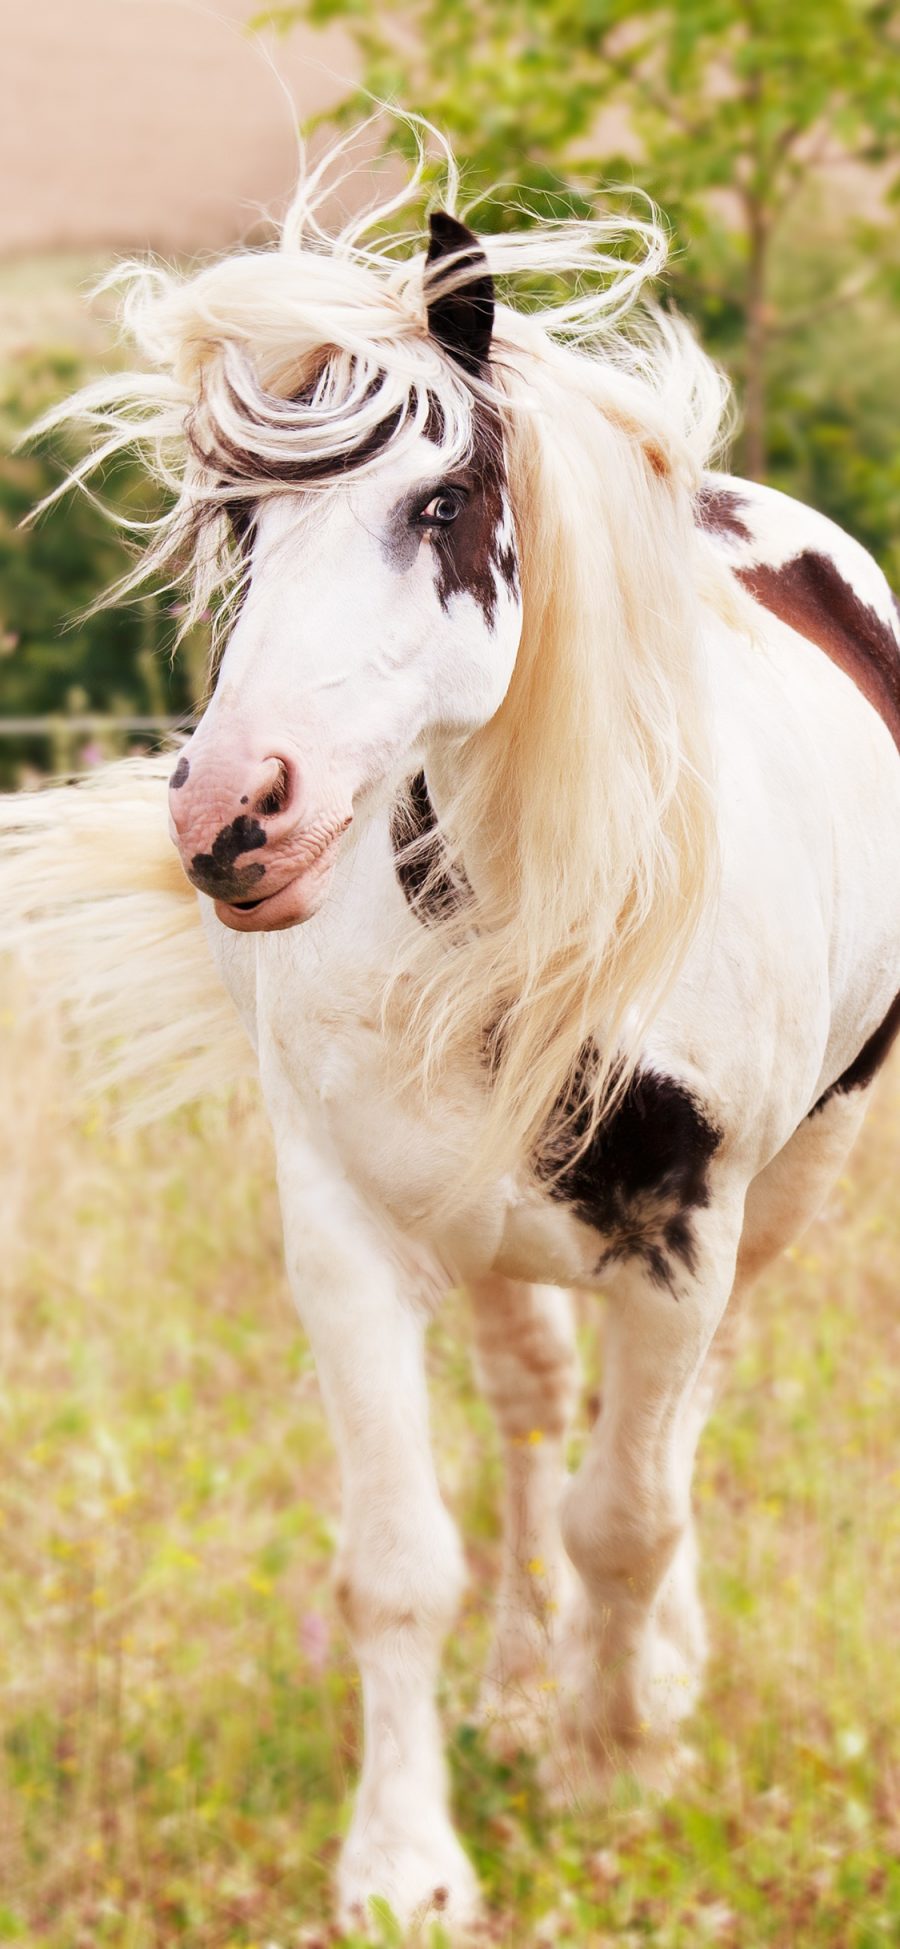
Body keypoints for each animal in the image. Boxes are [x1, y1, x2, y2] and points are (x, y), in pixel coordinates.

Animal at [5, 144, 900, 1941]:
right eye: (241, 522)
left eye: (438, 506)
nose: (236, 817)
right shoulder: (349, 1228)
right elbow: (403, 1558)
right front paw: (406, 1854)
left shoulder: (680, 1232)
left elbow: (633, 1512)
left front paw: (616, 1763)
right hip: (485, 1230)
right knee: (532, 1413)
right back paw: (516, 1680)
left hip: (789, 1190)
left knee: (662, 1436)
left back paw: (646, 1677)